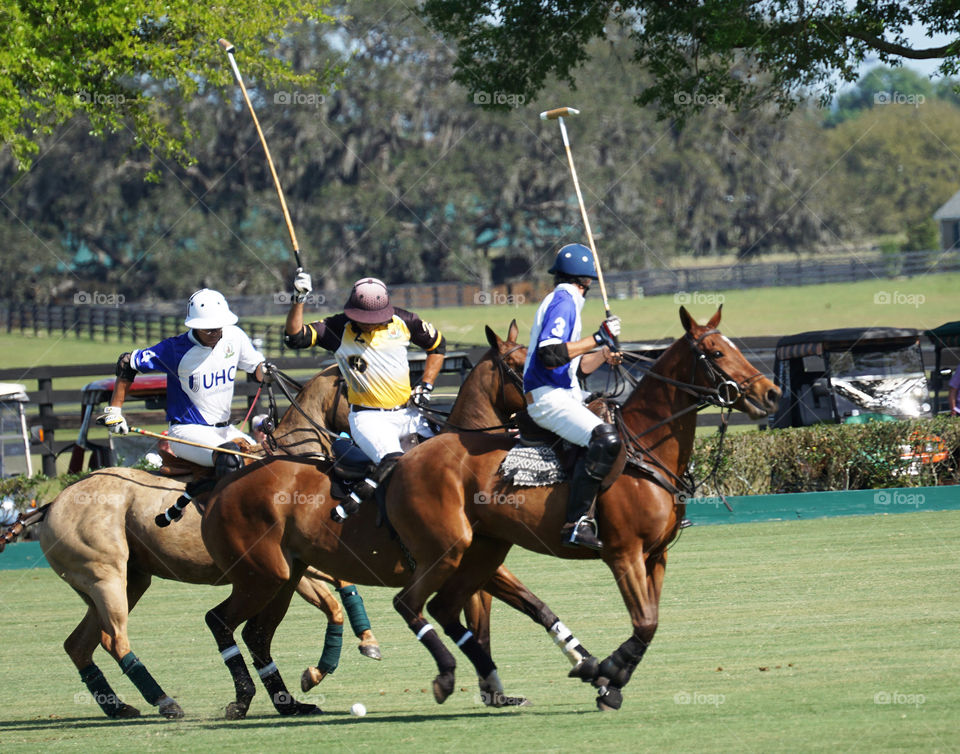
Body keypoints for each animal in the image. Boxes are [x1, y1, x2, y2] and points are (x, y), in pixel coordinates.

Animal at [199, 318, 596, 716]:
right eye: (518, 368)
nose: (582, 405)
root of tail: (222, 487)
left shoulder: (481, 564)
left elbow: (532, 608)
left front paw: (528, 681)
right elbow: (483, 618)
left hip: (283, 577)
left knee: (255, 634)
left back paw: (289, 701)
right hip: (261, 576)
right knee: (220, 621)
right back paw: (244, 698)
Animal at [382, 304, 780, 704]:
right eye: (716, 352)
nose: (772, 393)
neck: (645, 448)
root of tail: (405, 460)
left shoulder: (657, 555)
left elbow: (650, 623)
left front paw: (610, 678)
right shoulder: (624, 554)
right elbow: (645, 621)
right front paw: (610, 672)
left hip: (484, 550)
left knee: (441, 607)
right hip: (445, 549)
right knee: (408, 603)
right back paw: (446, 675)